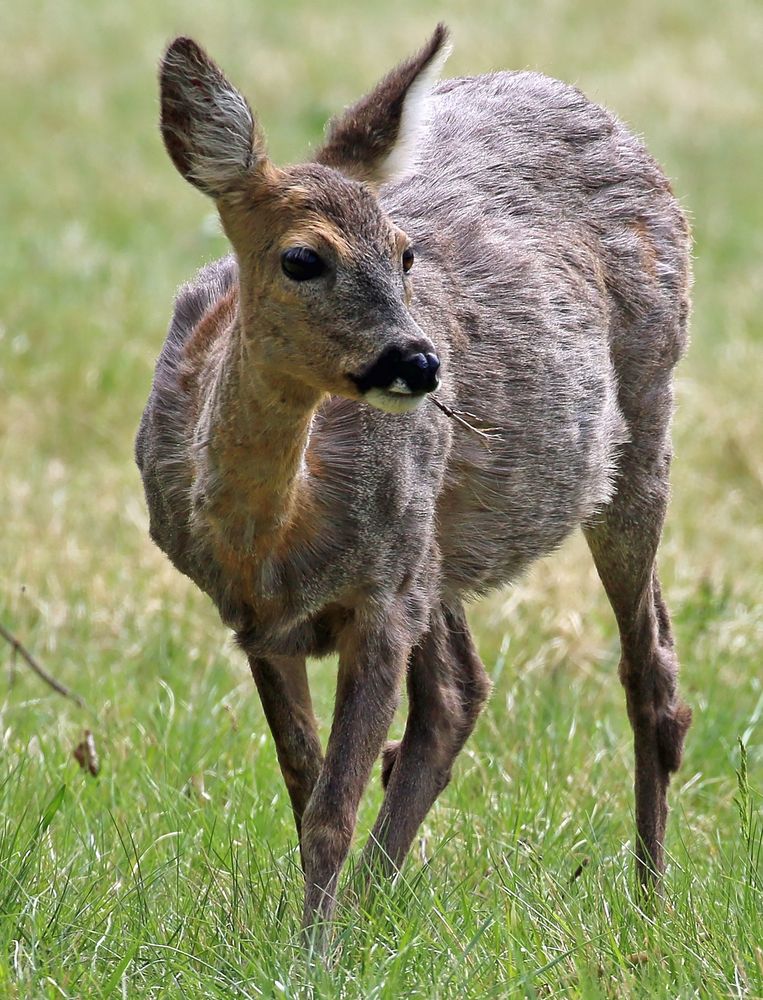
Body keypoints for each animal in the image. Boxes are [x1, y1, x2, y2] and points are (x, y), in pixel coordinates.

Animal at [136, 25, 692, 944]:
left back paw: (649, 898)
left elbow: (332, 805)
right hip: (439, 543)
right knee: (459, 691)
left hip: (636, 432)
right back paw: (377, 897)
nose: (421, 361)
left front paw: (312, 953)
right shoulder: (256, 620)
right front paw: (323, 932)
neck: (273, 540)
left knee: (647, 669)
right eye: (302, 257)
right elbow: (305, 785)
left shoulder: (383, 594)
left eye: (404, 252)